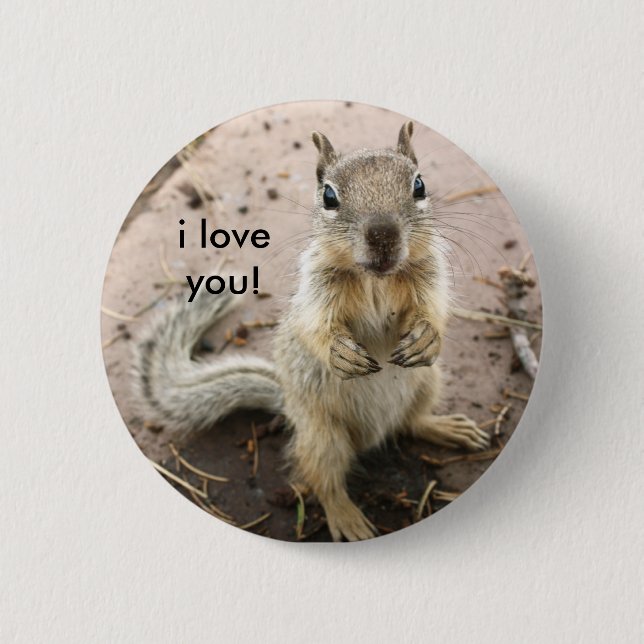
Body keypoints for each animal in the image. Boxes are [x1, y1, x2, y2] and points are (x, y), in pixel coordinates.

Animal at [134, 121, 490, 541]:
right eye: (329, 196)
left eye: (419, 185)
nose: (382, 235)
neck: (377, 279)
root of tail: (287, 401)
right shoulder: (315, 289)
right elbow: (314, 326)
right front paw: (340, 352)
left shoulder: (429, 275)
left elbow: (433, 309)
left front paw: (428, 337)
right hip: (324, 436)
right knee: (324, 478)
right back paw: (347, 518)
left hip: (428, 383)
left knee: (411, 422)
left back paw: (446, 427)